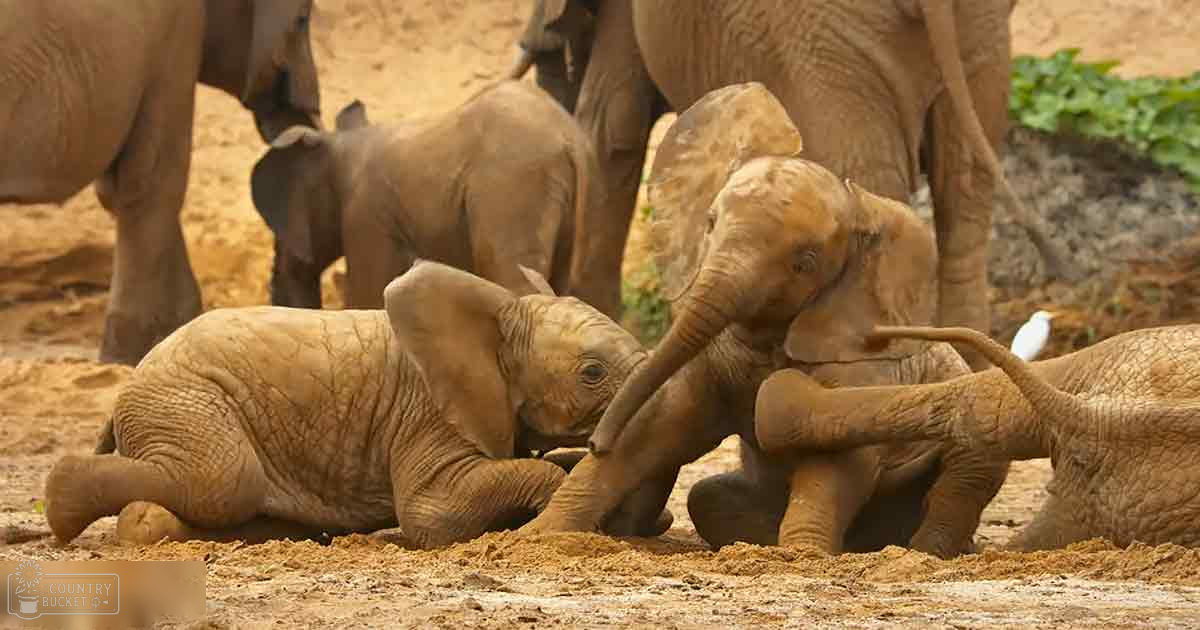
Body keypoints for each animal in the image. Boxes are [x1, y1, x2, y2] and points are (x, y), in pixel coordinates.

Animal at [44, 261, 668, 549]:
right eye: (592, 373)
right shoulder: (429, 410)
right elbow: (432, 512)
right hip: (186, 401)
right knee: (225, 479)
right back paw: (64, 503)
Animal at [520, 83, 1008, 559]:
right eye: (710, 222)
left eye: (804, 263)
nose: (594, 441)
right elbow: (658, 421)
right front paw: (537, 536)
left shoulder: (859, 359)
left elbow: (839, 454)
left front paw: (801, 555)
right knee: (707, 498)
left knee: (968, 472)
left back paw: (916, 550)